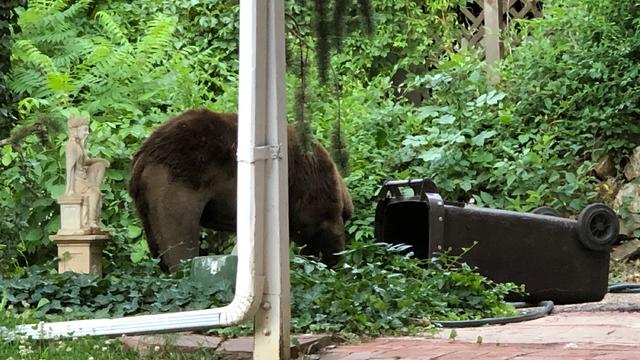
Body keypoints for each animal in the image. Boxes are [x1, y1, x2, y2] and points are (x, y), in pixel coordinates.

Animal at [127, 108, 352, 272]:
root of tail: (145, 155)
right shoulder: (310, 193)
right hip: (177, 184)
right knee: (178, 241)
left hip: (147, 203)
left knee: (159, 246)